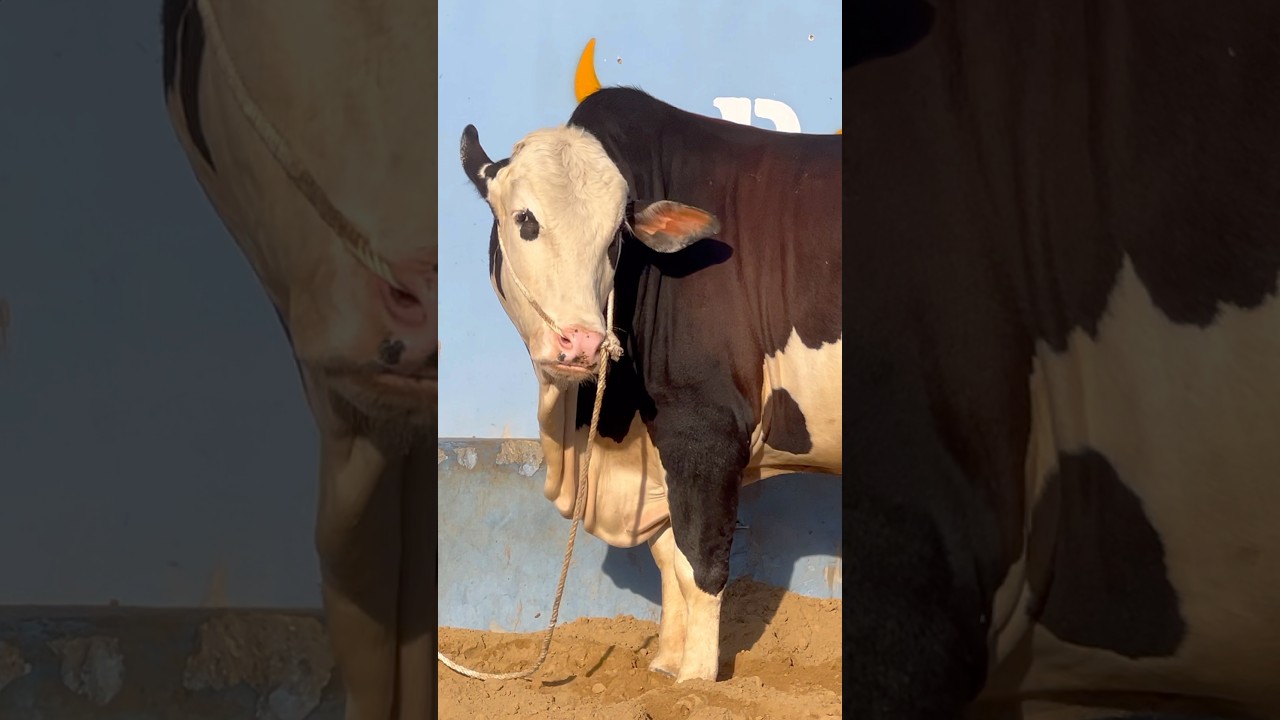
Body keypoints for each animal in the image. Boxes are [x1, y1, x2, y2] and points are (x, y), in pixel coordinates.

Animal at [457, 87, 843, 683]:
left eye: (617, 236)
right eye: (525, 219)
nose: (582, 343)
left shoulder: (706, 429)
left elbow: (701, 562)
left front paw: (696, 680)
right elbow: (670, 561)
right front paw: (664, 665)